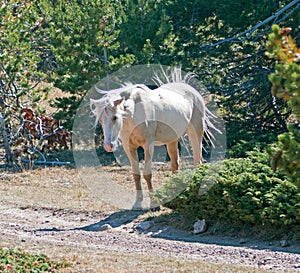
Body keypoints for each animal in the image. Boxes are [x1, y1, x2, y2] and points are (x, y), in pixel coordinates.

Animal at [90, 70, 214, 208]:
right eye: (101, 120)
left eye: (115, 117)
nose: (108, 145)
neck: (134, 113)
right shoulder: (129, 148)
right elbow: (136, 174)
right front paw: (137, 203)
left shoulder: (148, 145)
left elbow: (147, 173)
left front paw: (154, 203)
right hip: (172, 140)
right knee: (175, 164)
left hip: (195, 132)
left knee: (197, 160)